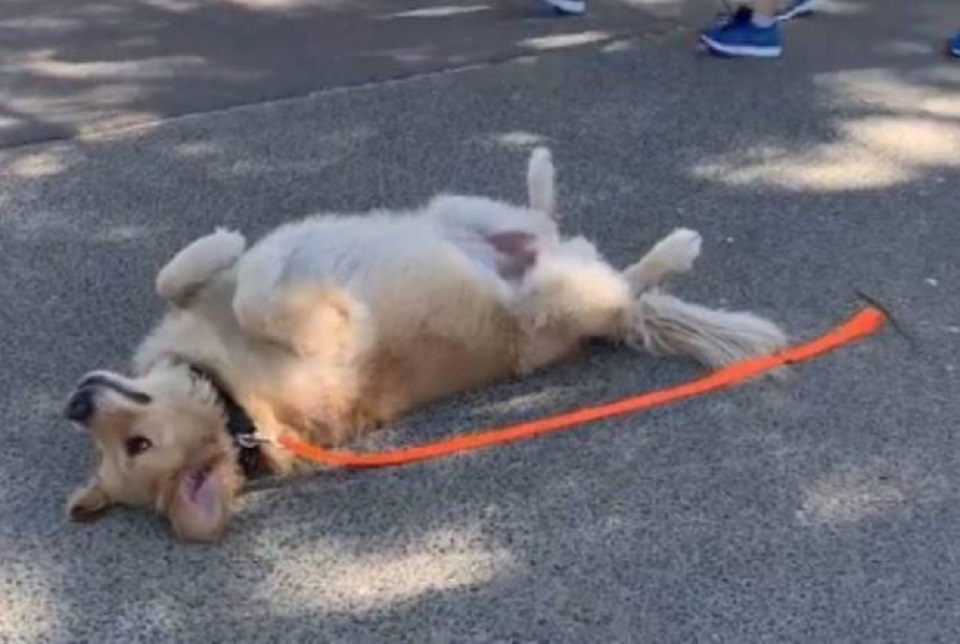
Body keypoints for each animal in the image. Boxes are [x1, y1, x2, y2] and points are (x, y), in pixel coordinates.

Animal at [65, 148, 788, 540]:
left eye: (134, 444)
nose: (76, 405)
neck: (227, 397)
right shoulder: (323, 331)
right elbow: (258, 296)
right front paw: (265, 266)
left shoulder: (197, 307)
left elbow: (179, 275)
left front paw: (233, 247)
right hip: (566, 296)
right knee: (623, 286)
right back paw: (672, 250)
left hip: (459, 209)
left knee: (550, 223)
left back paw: (541, 172)